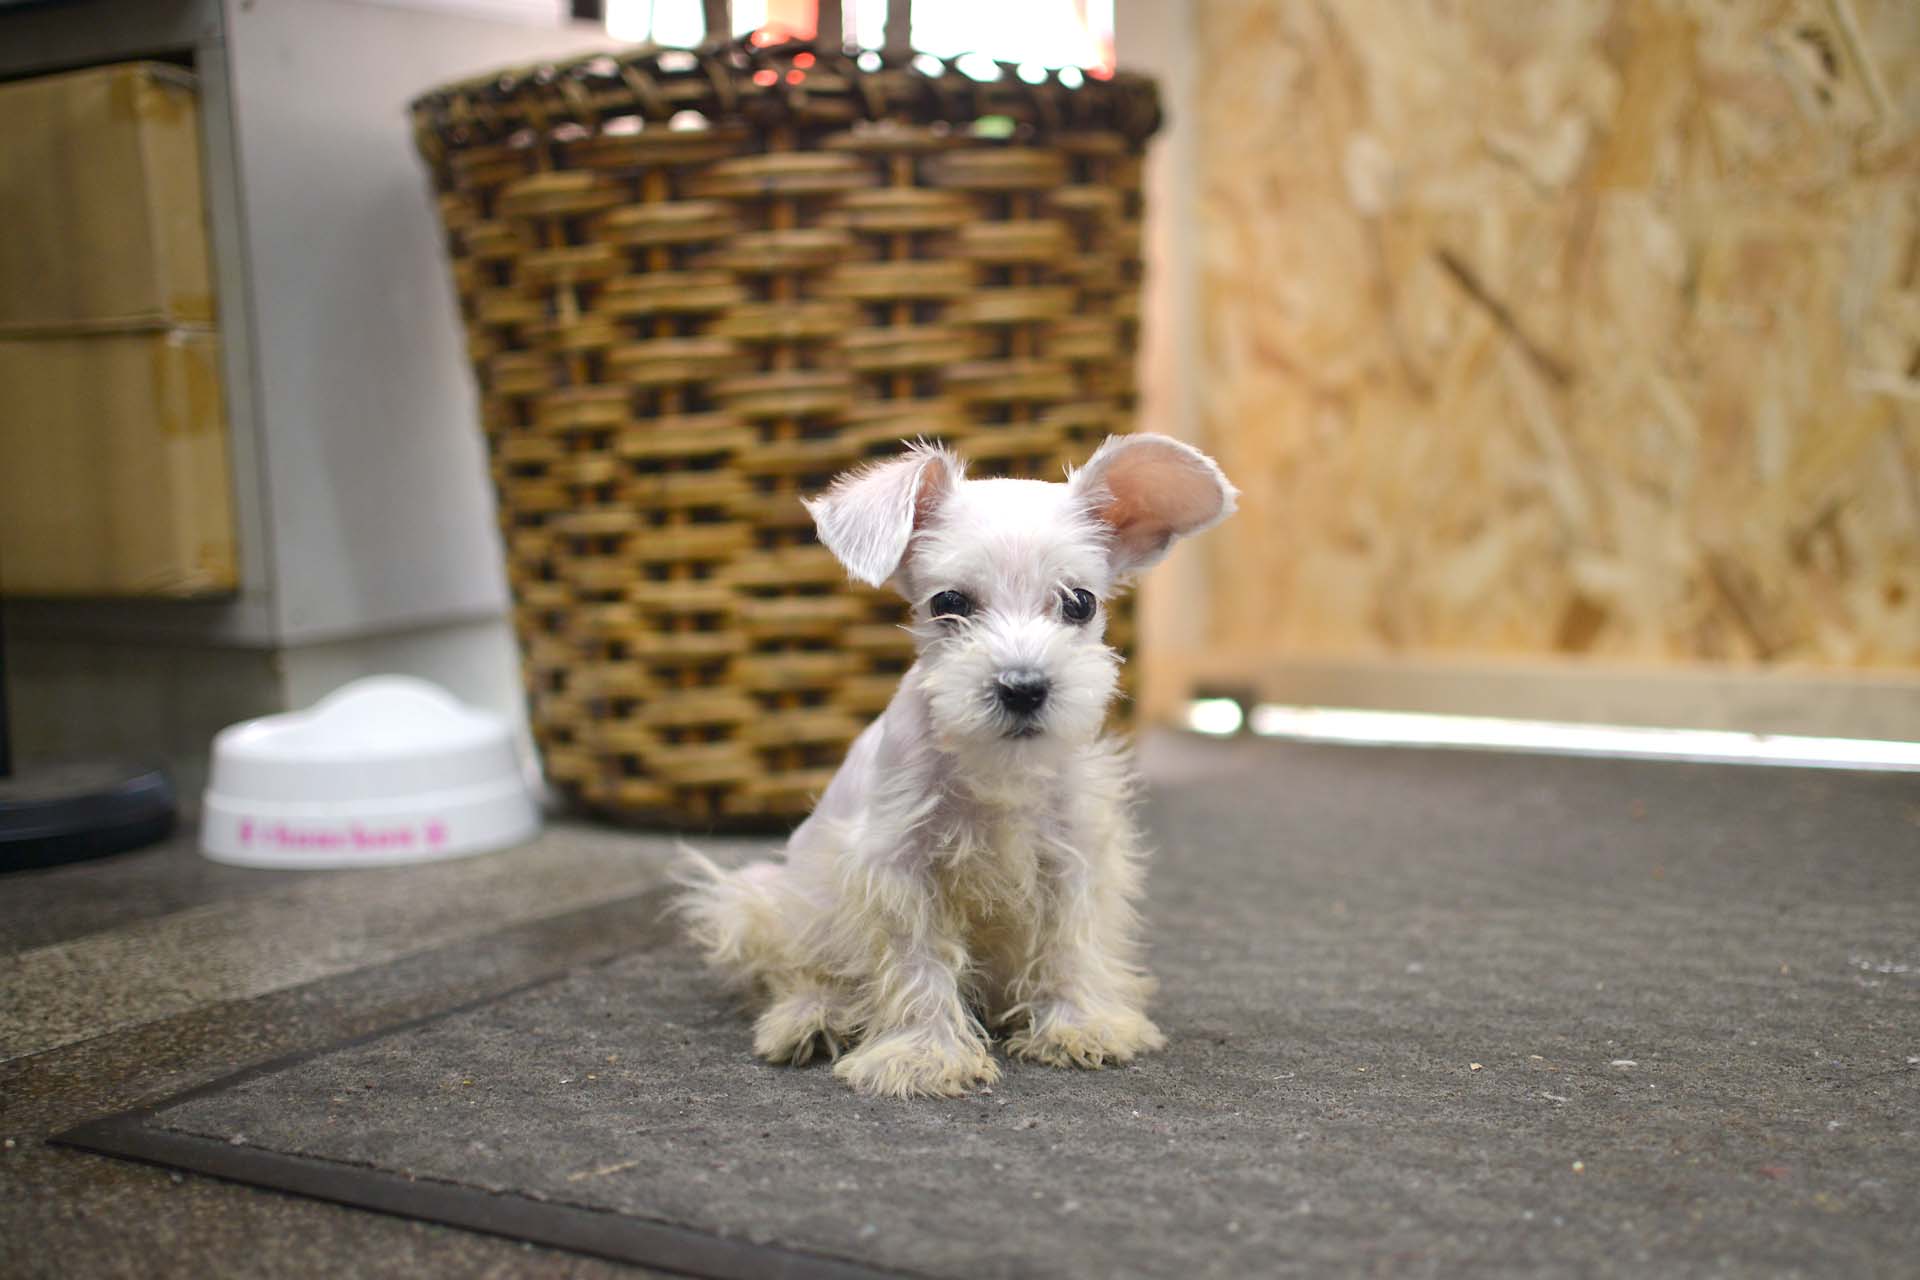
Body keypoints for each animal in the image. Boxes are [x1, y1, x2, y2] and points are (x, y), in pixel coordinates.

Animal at [676, 433, 1237, 1098]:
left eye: (1080, 602)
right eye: (949, 602)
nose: (1023, 687)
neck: (994, 770)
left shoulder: (1072, 855)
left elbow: (1070, 945)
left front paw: (1080, 1024)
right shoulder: (899, 867)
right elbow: (916, 965)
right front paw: (923, 1055)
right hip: (764, 899)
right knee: (800, 972)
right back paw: (809, 1019)